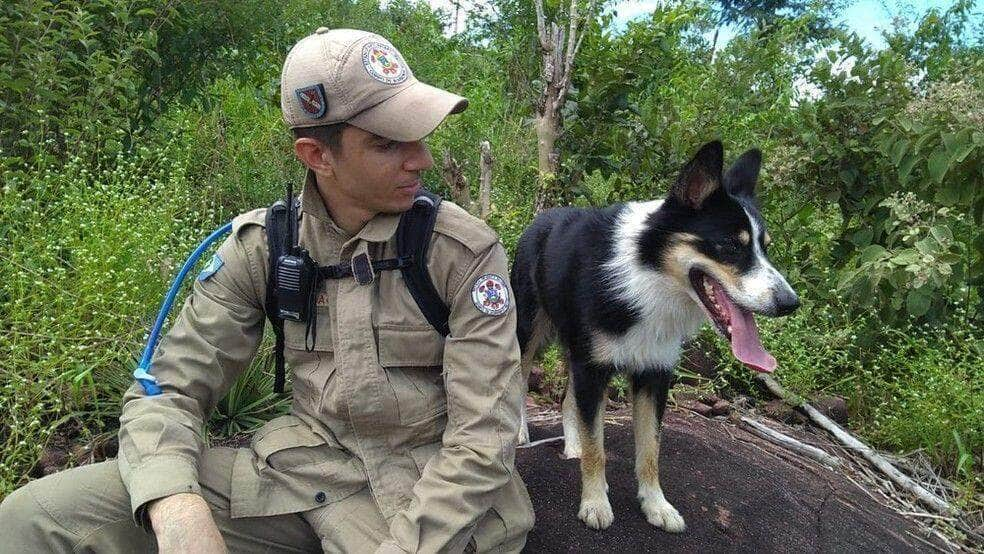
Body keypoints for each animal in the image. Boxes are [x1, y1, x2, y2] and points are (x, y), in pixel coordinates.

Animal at [512, 140, 804, 528]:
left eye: (765, 247)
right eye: (730, 246)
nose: (790, 303)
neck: (648, 276)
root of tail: (542, 218)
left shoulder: (653, 374)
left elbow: (650, 449)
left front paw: (656, 505)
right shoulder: (593, 368)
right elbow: (597, 447)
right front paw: (595, 502)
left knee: (568, 399)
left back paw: (572, 445)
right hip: (529, 329)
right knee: (519, 379)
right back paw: (519, 431)